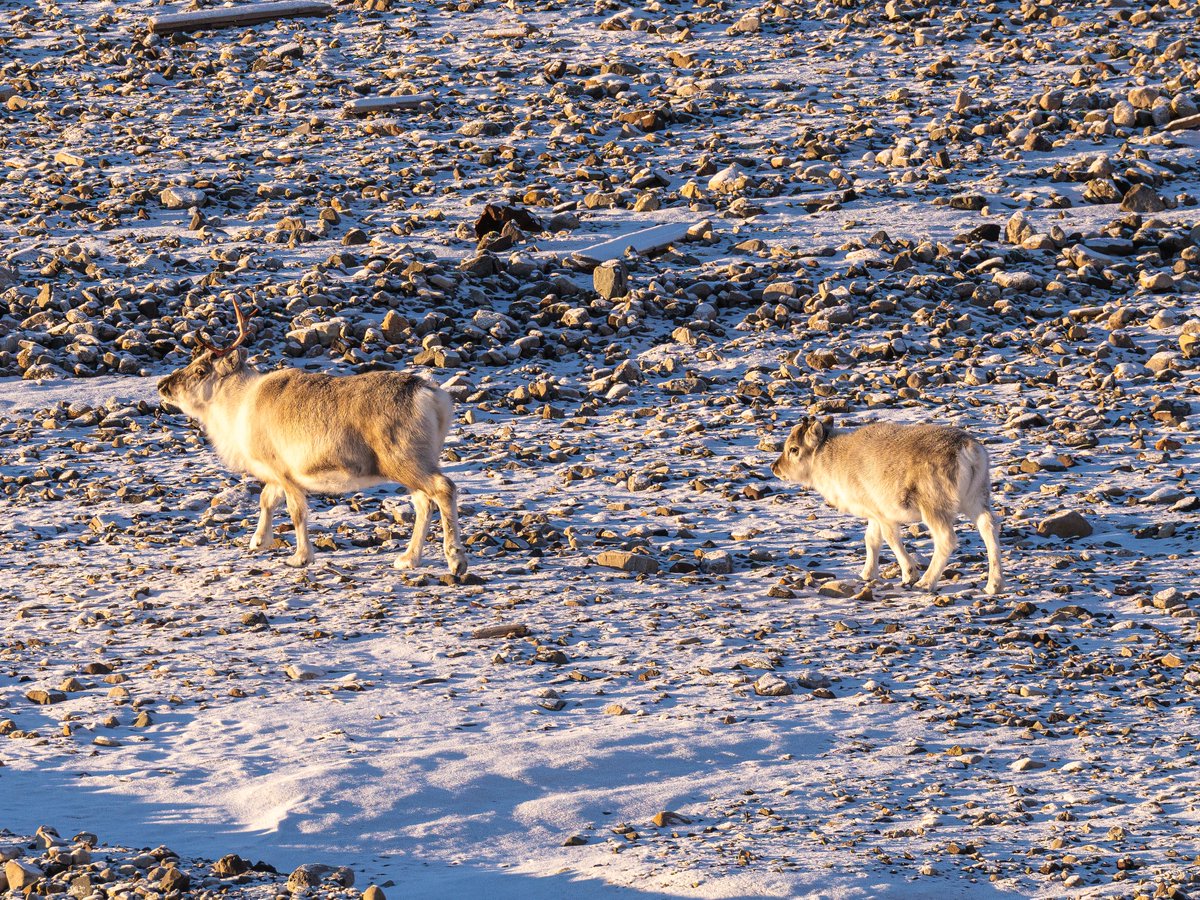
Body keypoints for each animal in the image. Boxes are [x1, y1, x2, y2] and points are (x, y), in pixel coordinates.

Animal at [156, 299, 468, 576]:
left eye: (200, 370)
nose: (163, 385)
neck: (238, 407)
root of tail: (432, 396)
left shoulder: (285, 471)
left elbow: (296, 512)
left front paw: (300, 557)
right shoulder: (273, 474)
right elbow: (266, 500)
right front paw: (258, 541)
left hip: (405, 460)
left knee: (443, 489)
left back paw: (455, 561)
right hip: (414, 463)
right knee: (423, 502)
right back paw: (408, 559)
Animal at [771, 417, 1003, 595]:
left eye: (793, 449)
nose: (775, 468)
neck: (832, 459)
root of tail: (968, 451)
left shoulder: (884, 514)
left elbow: (891, 539)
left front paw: (909, 574)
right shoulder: (873, 514)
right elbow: (872, 541)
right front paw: (866, 574)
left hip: (934, 507)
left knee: (946, 539)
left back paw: (925, 583)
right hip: (977, 498)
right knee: (990, 528)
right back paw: (994, 585)